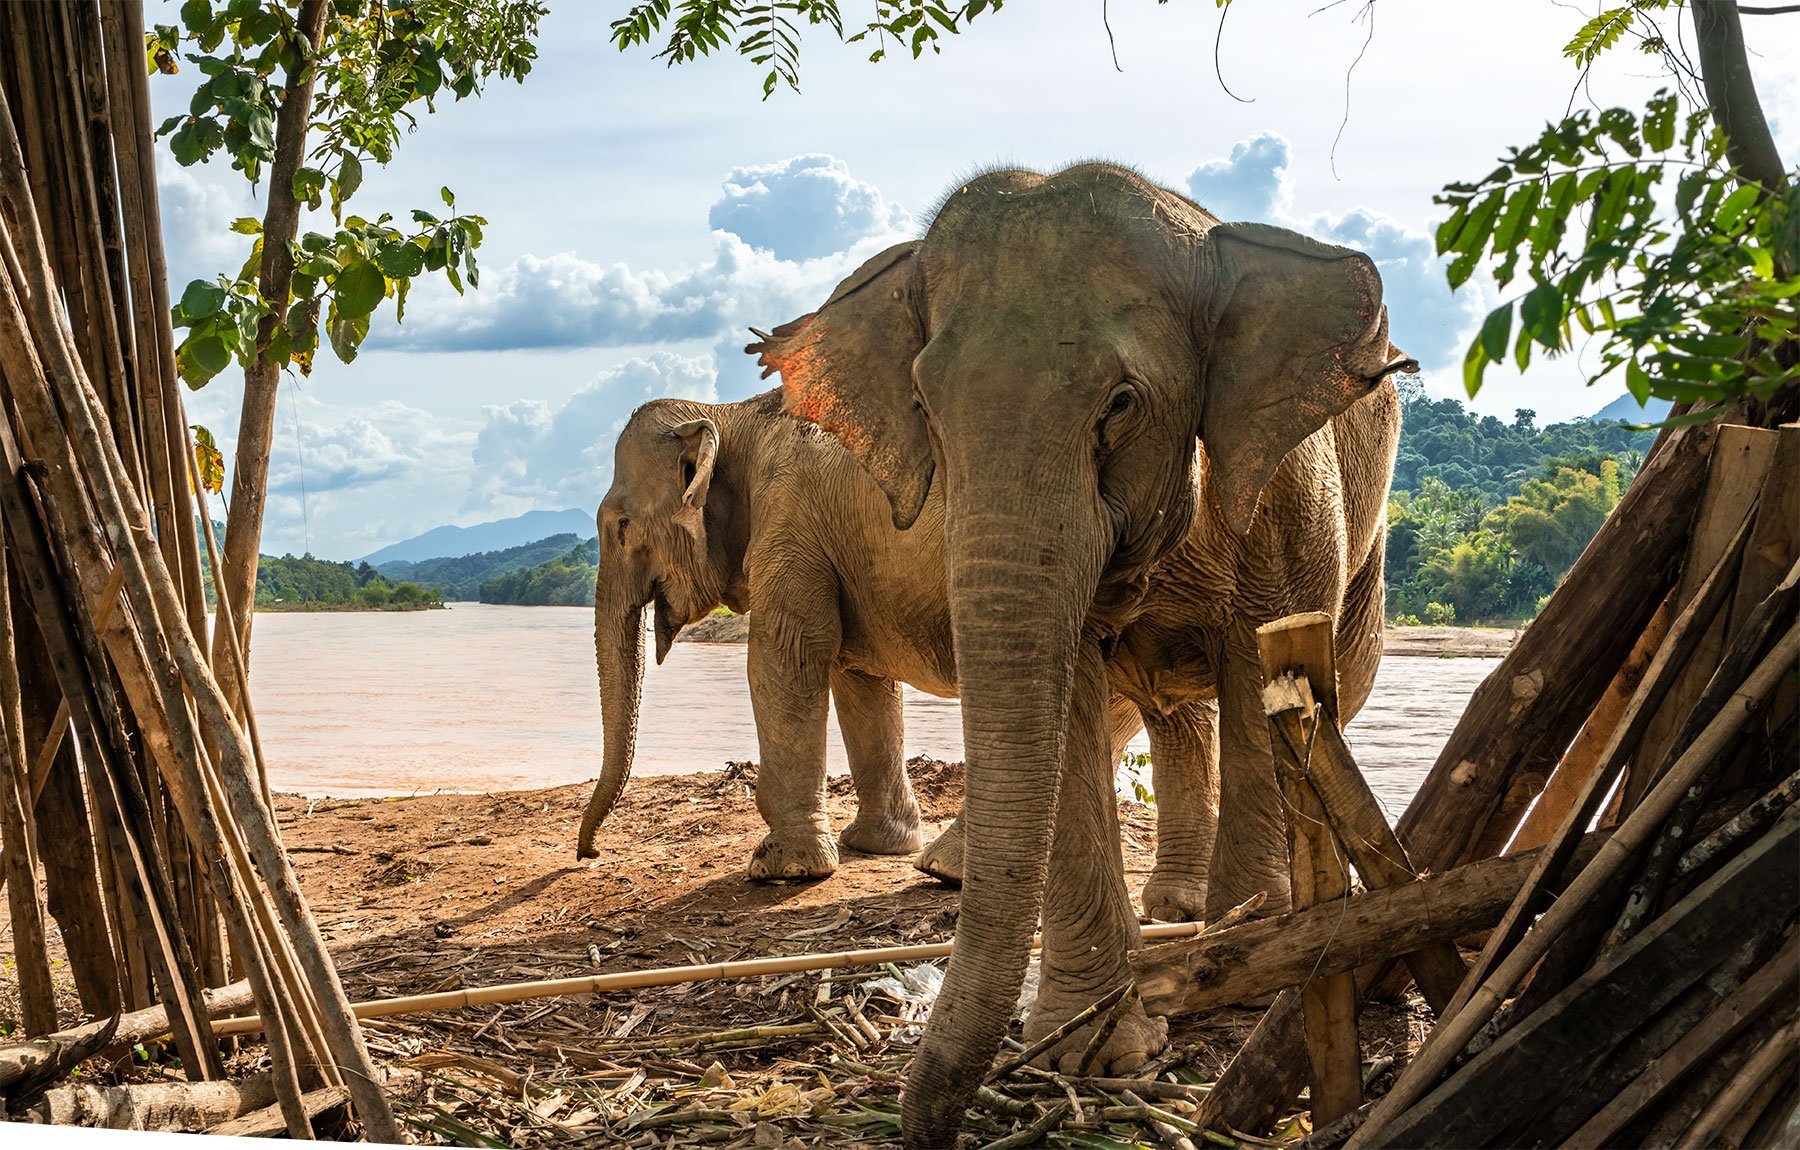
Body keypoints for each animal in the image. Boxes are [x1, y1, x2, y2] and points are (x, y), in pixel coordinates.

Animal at [752, 163, 1411, 1150]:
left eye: (1122, 405)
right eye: (925, 410)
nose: (924, 1125)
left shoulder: (1287, 490)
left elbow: (1260, 666)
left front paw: (1246, 973)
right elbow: (1067, 700)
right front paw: (1091, 1053)